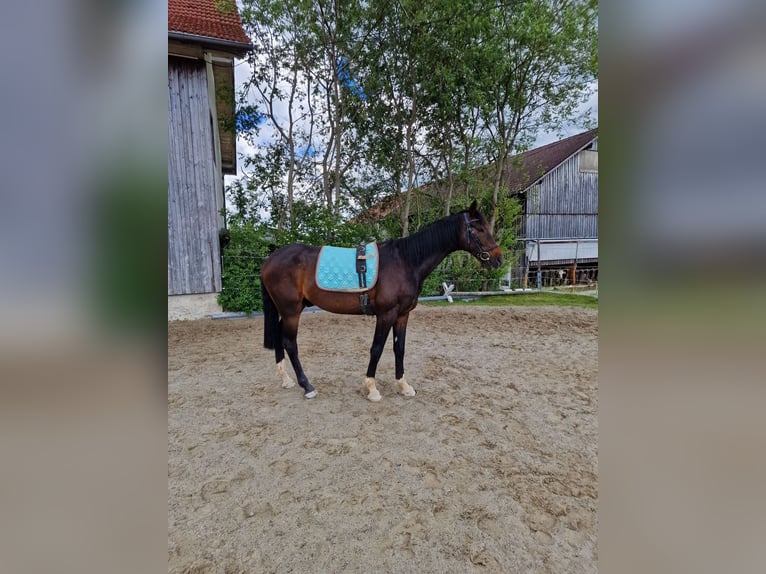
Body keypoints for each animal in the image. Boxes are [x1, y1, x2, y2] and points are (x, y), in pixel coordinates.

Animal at [260, 200, 503, 401]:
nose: (498, 259)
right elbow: (376, 348)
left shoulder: (403, 314)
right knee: (290, 343)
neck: (406, 261)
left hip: (289, 310)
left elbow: (399, 348)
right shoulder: (386, 314)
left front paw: (404, 386)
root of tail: (270, 259)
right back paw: (307, 386)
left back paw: (286, 380)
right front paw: (371, 389)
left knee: (280, 336)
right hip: (291, 311)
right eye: (480, 229)